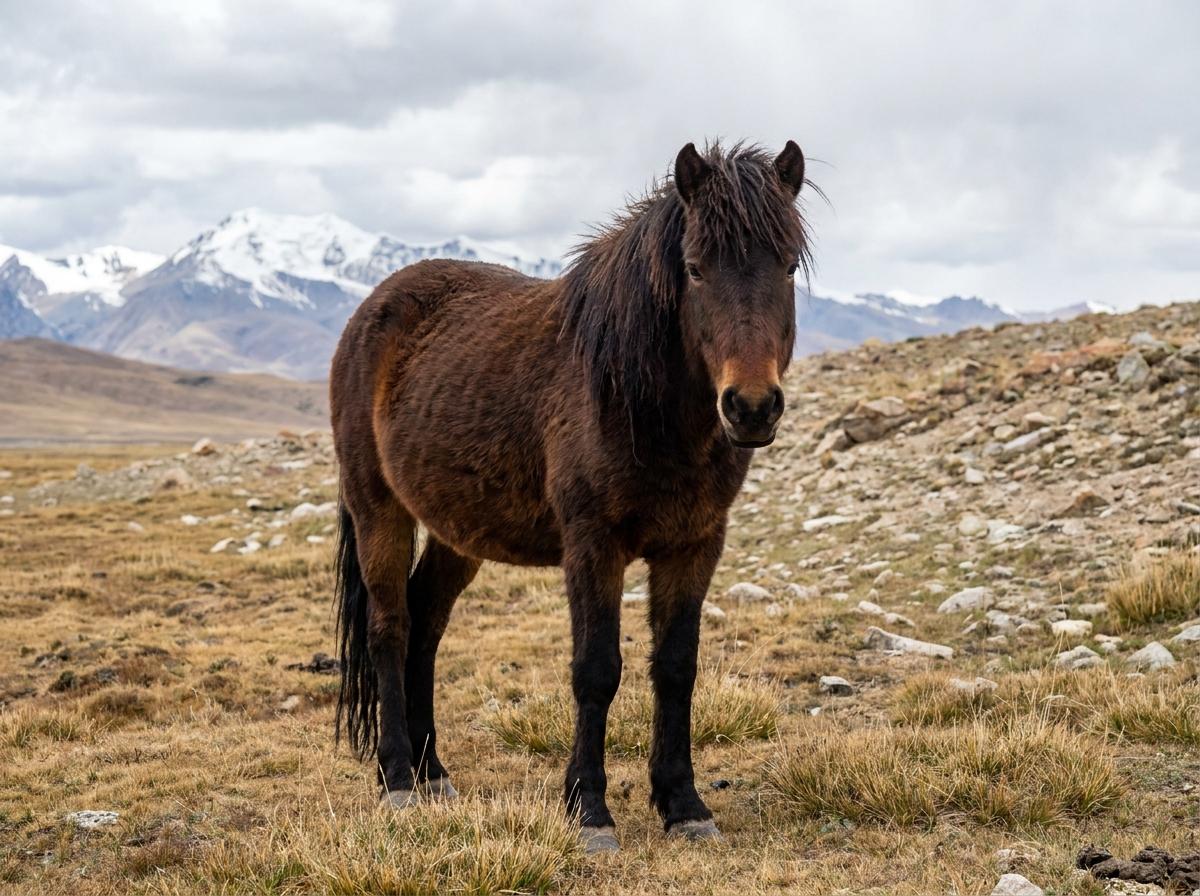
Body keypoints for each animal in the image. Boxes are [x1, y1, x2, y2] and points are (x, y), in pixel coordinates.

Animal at [329, 139, 812, 853]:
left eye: (787, 267)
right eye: (695, 269)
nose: (751, 407)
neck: (637, 403)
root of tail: (373, 308)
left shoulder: (695, 544)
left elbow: (676, 668)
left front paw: (684, 804)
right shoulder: (592, 545)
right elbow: (596, 670)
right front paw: (589, 810)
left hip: (456, 532)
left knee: (426, 625)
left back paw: (432, 771)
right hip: (377, 509)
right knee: (391, 627)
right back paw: (397, 779)